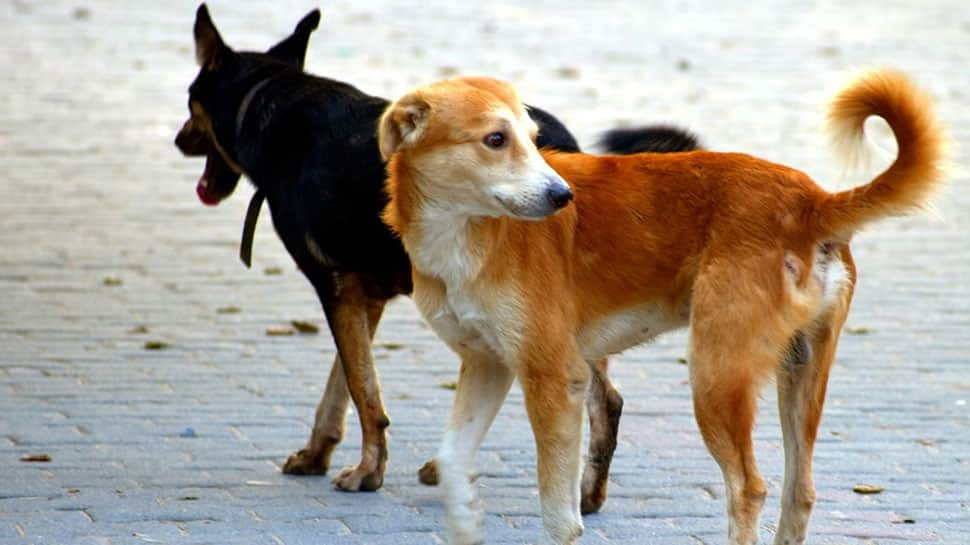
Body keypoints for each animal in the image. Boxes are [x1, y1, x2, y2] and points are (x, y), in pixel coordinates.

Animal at [174, 4, 700, 496]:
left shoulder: (336, 285)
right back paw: (586, 492)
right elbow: (341, 384)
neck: (270, 100)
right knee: (603, 397)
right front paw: (318, 452)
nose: (179, 139)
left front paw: (367, 471)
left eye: (190, 103)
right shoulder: (365, 296)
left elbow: (363, 389)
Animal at [376, 69, 944, 544]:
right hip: (800, 374)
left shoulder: (554, 379)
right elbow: (453, 462)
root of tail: (810, 201)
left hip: (715, 378)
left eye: (535, 141)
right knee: (799, 492)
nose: (563, 197)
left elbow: (559, 516)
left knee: (749, 488)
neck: (467, 233)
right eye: (496, 139)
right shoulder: (487, 364)